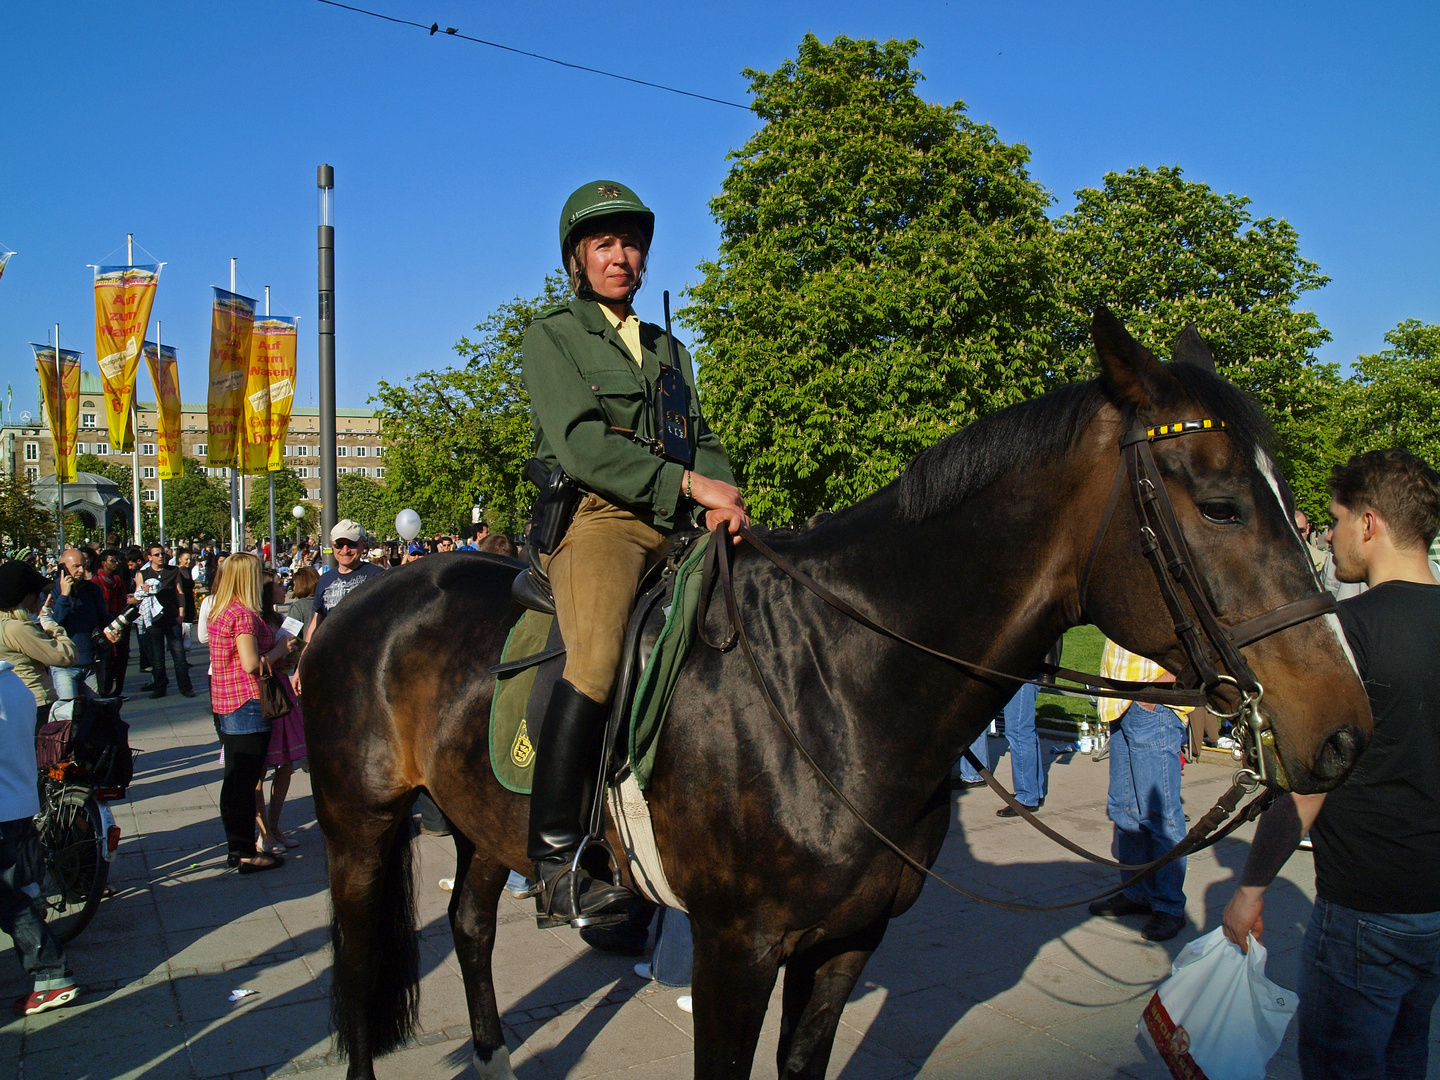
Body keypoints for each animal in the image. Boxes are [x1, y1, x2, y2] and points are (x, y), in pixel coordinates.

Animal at [298, 308, 1365, 1077]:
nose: (1346, 731)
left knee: (470, 928)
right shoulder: (737, 950)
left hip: (483, 821)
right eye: (1220, 505)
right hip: (360, 825)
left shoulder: (846, 944)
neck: (841, 681)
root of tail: (362, 599)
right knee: (358, 970)